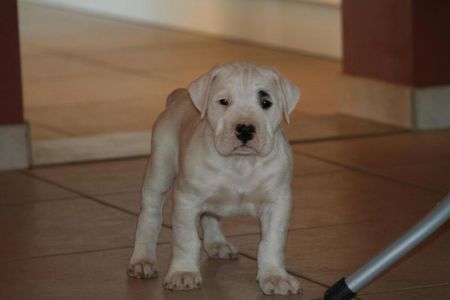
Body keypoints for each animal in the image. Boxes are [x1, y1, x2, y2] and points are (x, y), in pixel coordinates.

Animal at [128, 61, 300, 296]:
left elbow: (272, 241)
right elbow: (186, 238)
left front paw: (275, 276)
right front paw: (183, 273)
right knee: (150, 216)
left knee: (210, 215)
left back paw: (218, 244)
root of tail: (179, 96)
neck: (240, 163)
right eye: (223, 102)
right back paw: (143, 260)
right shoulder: (186, 200)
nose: (245, 129)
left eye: (266, 103)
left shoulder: (277, 202)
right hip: (159, 171)